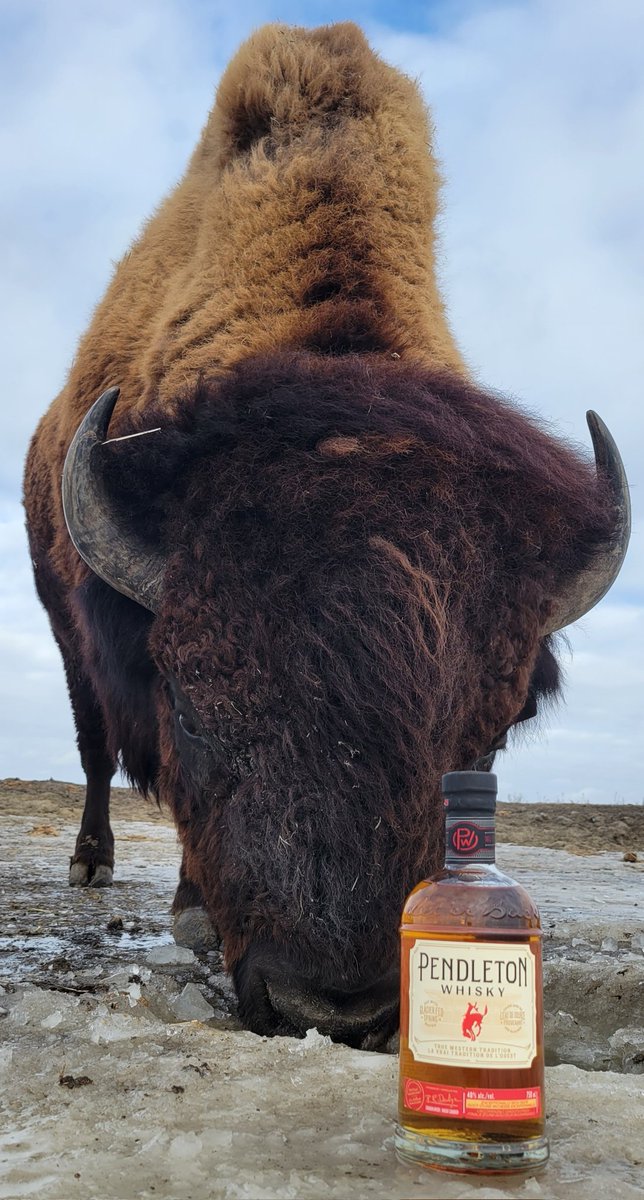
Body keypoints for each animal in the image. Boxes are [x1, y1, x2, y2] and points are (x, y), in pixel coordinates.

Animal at [24, 23, 629, 1049]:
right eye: (191, 706)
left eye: (491, 735)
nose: (332, 1008)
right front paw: (187, 910)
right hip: (60, 628)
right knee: (93, 746)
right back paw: (93, 864)